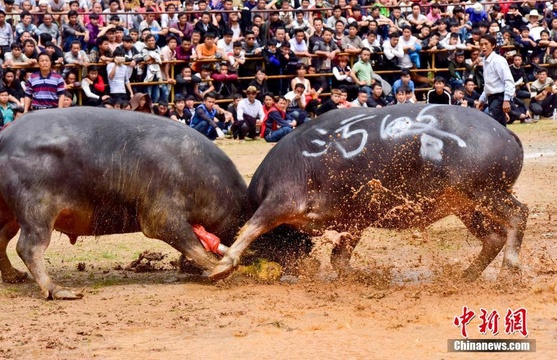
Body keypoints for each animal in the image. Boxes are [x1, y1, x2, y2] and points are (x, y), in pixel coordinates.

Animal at [0, 108, 245, 300]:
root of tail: (5, 137)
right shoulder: (161, 217)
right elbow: (190, 242)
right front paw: (220, 269)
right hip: (37, 210)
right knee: (29, 247)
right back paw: (59, 291)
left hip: (10, 213)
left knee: (3, 238)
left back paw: (15, 276)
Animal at [211, 104, 528, 282]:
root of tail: (505, 133)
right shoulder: (355, 219)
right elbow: (339, 258)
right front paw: (365, 277)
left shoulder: (281, 199)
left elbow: (251, 227)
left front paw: (221, 266)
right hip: (467, 205)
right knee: (493, 236)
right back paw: (468, 275)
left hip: (486, 192)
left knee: (518, 215)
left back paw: (508, 271)